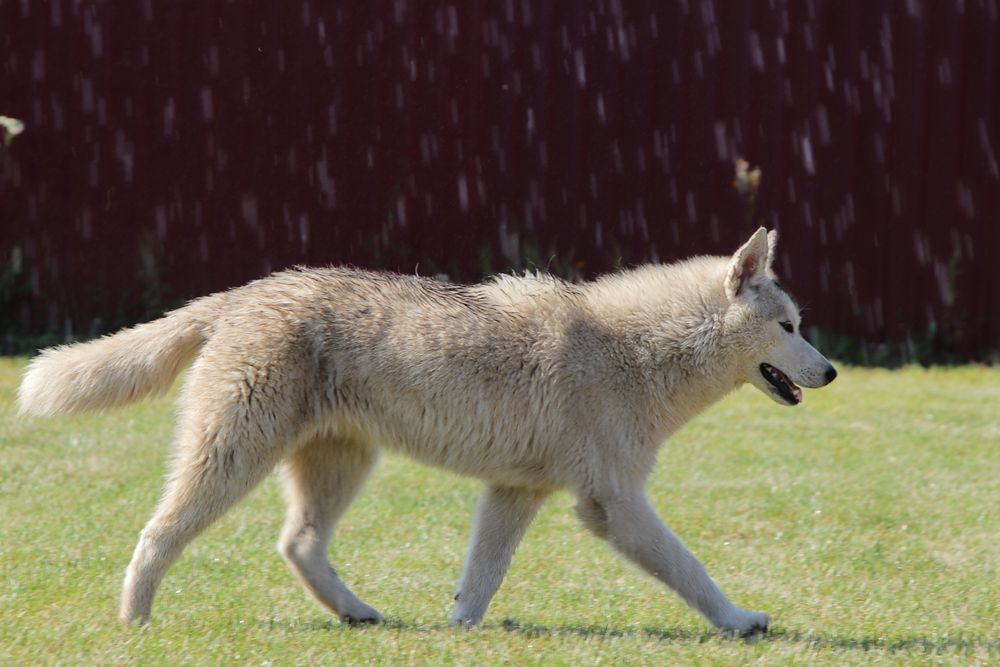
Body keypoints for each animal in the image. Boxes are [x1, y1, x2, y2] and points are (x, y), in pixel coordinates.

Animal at [21, 228, 836, 636]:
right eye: (790, 327)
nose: (830, 372)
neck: (636, 350)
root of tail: (244, 294)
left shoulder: (515, 493)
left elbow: (478, 582)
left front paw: (458, 636)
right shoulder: (615, 505)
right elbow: (693, 571)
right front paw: (740, 621)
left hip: (337, 466)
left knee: (297, 544)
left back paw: (356, 614)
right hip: (233, 459)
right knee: (157, 535)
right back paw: (135, 624)